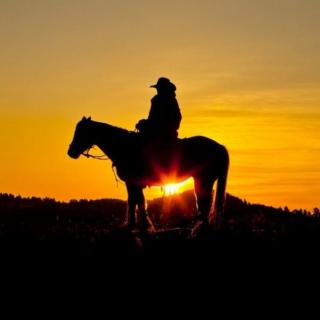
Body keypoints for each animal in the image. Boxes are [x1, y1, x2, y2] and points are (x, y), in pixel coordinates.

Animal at [67, 116, 229, 234]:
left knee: (204, 202)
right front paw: (135, 225)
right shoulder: (132, 183)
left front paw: (142, 225)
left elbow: (137, 201)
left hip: (203, 180)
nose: (71, 152)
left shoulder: (133, 182)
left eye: (81, 132)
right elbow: (134, 201)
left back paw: (200, 228)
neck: (124, 146)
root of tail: (219, 147)